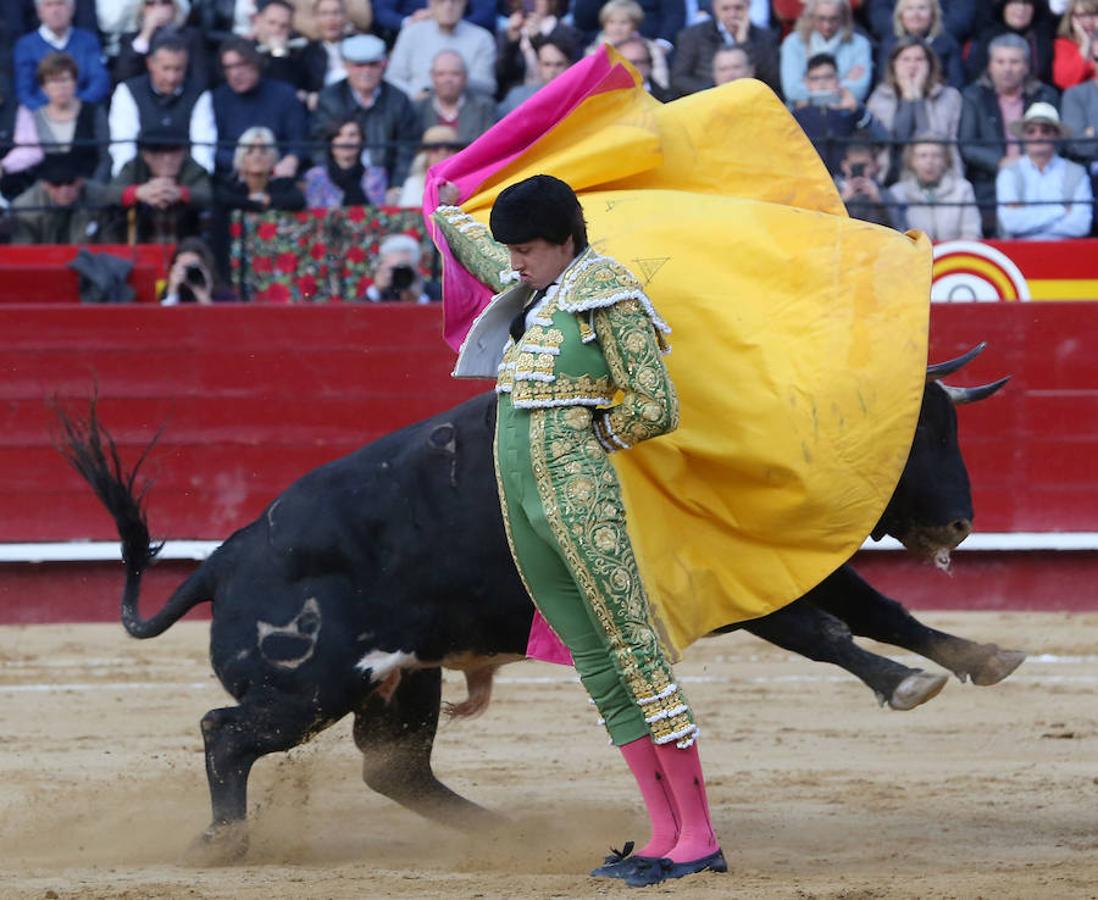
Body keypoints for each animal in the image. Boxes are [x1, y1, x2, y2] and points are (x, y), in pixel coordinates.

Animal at [60, 346, 1018, 856]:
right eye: (912, 431)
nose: (960, 522)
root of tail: (222, 560)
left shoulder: (793, 565)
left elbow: (881, 612)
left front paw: (982, 658)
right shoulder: (741, 587)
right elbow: (825, 630)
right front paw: (906, 684)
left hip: (402, 679)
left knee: (394, 768)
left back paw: (508, 832)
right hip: (312, 685)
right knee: (226, 735)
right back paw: (226, 844)